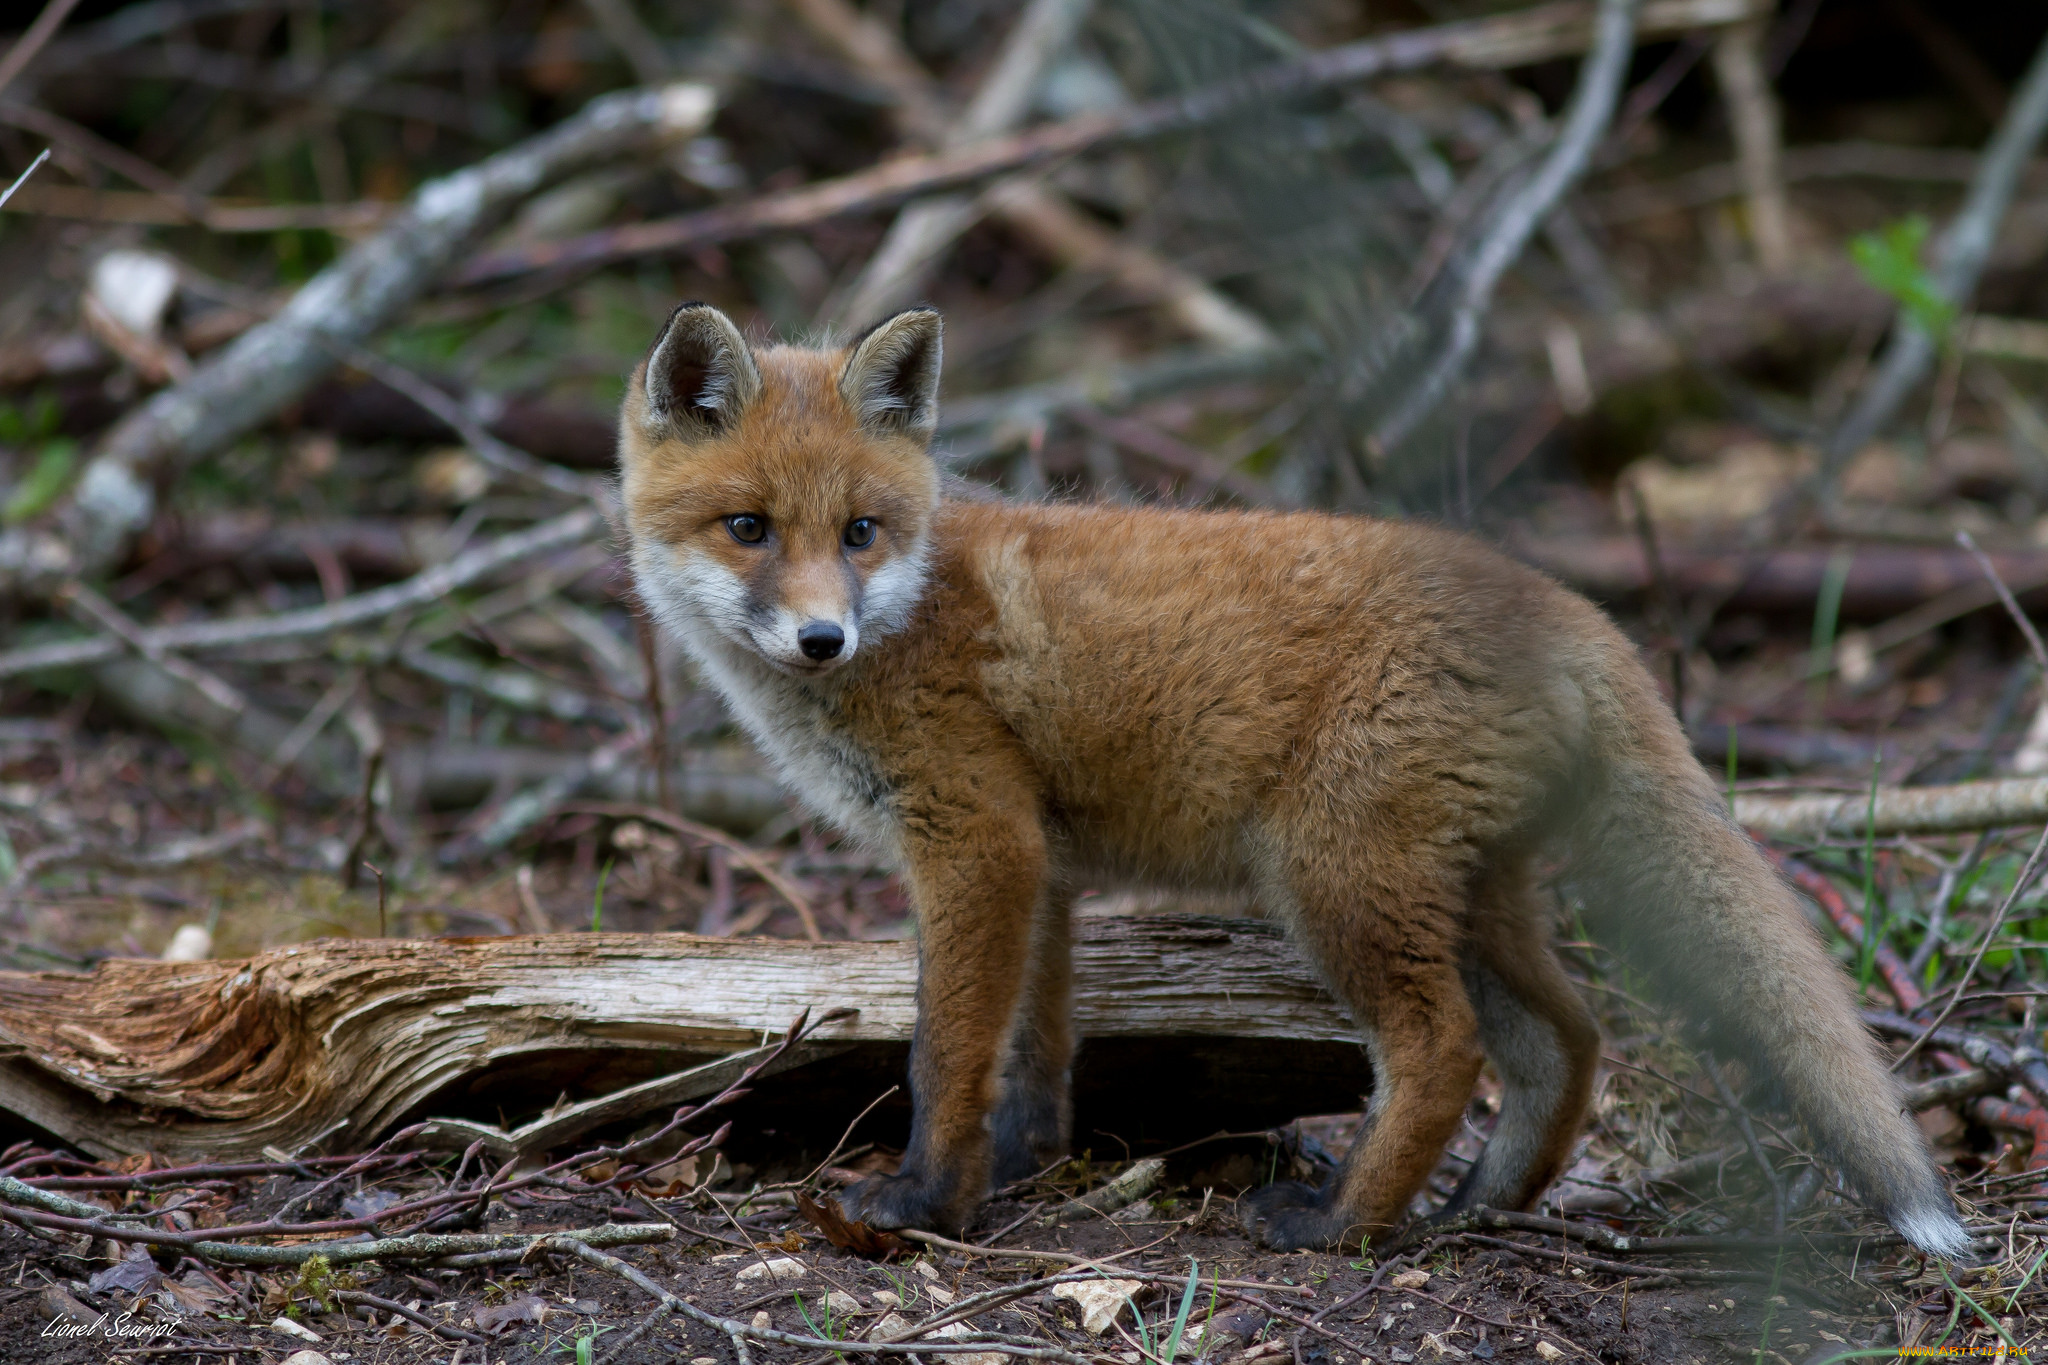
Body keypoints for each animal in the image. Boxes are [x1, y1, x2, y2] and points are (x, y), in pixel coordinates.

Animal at [618, 300, 1966, 1260]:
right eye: (748, 528)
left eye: (859, 532)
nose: (820, 639)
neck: (911, 617)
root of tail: (1572, 609)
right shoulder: (1042, 868)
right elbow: (1036, 1048)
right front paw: (1024, 1167)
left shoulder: (977, 841)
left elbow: (943, 1051)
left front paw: (925, 1203)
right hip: (1462, 889)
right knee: (1565, 1038)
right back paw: (1479, 1206)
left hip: (1332, 877)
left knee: (1442, 1048)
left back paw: (1342, 1226)